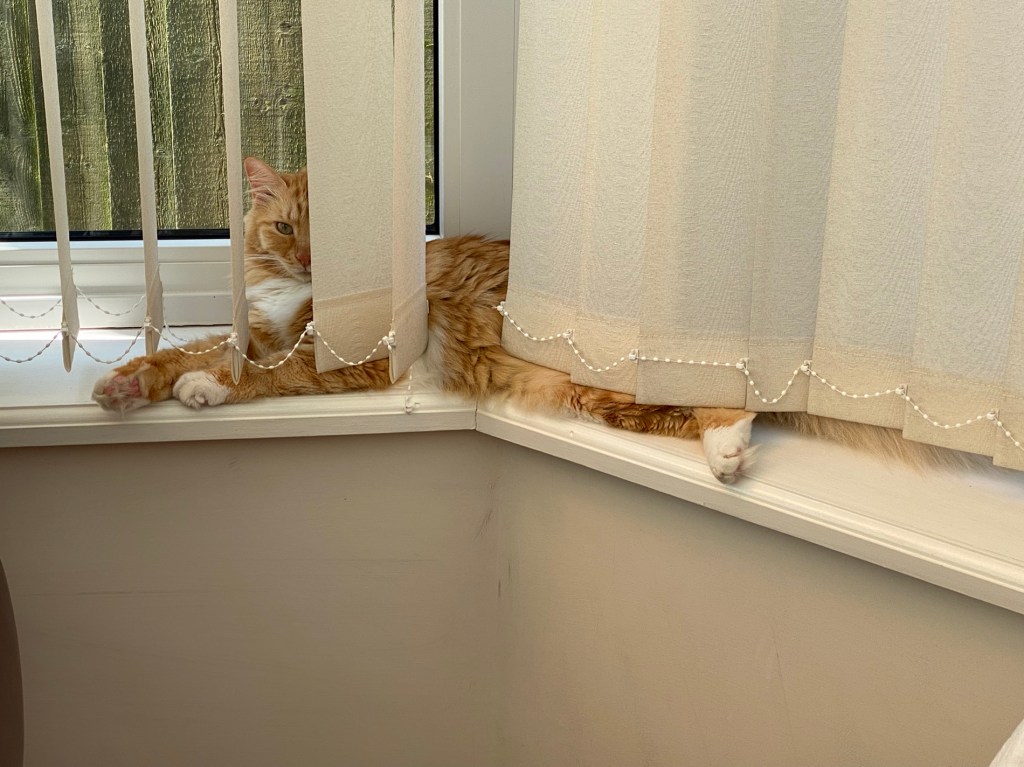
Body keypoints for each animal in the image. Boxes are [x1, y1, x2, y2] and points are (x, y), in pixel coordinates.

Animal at [93, 158, 955, 483]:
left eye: (328, 235)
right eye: (283, 229)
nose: (308, 261)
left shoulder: (344, 357)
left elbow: (255, 373)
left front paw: (204, 389)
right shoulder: (266, 327)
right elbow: (193, 352)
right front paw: (127, 385)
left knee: (730, 401)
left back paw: (730, 455)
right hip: (599, 399)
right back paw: (727, 454)